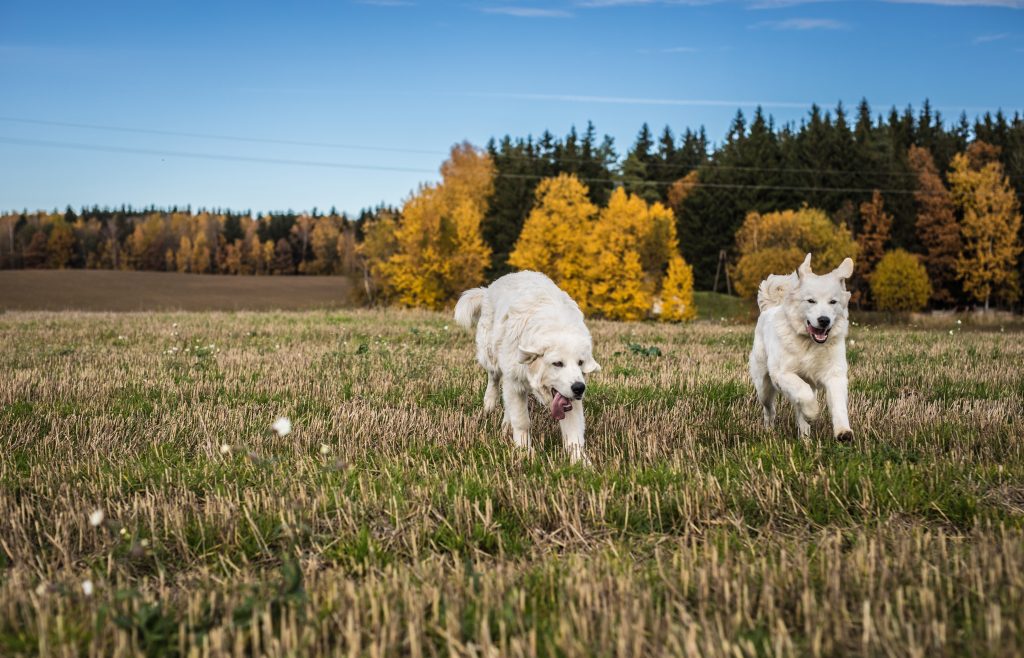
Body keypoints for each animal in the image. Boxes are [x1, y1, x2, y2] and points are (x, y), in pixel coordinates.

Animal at [454, 272, 598, 462]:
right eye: (557, 363)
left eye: (580, 362)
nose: (579, 388)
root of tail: (488, 289)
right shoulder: (514, 381)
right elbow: (522, 421)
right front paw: (523, 451)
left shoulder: (568, 398)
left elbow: (574, 433)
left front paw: (580, 462)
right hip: (490, 356)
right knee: (493, 379)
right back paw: (489, 404)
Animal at [749, 253, 860, 442]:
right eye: (811, 301)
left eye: (833, 302)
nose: (824, 320)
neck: (810, 344)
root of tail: (770, 308)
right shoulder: (783, 373)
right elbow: (803, 393)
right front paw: (813, 412)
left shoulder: (835, 374)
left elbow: (838, 405)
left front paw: (843, 432)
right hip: (763, 386)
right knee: (769, 409)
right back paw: (769, 429)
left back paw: (805, 437)